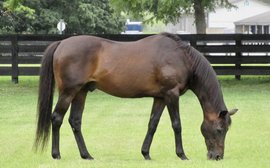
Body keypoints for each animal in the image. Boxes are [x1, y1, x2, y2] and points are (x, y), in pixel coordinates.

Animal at [34, 32, 237, 160]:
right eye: (220, 130)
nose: (217, 157)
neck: (183, 58)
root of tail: (62, 43)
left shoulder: (160, 97)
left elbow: (153, 124)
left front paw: (146, 153)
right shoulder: (171, 95)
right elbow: (177, 125)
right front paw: (182, 155)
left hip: (81, 92)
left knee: (75, 121)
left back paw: (86, 155)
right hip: (68, 92)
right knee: (57, 118)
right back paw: (56, 155)